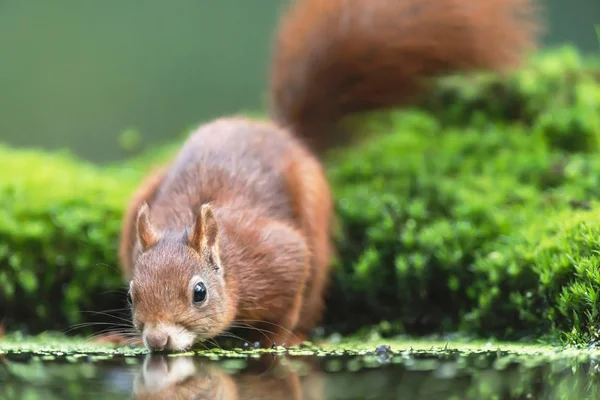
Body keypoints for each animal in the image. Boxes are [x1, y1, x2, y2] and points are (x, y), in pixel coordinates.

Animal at [117, 0, 540, 350]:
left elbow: (290, 297)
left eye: (199, 292)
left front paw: (275, 341)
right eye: (130, 295)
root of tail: (284, 133)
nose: (156, 340)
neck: (232, 264)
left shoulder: (280, 256)